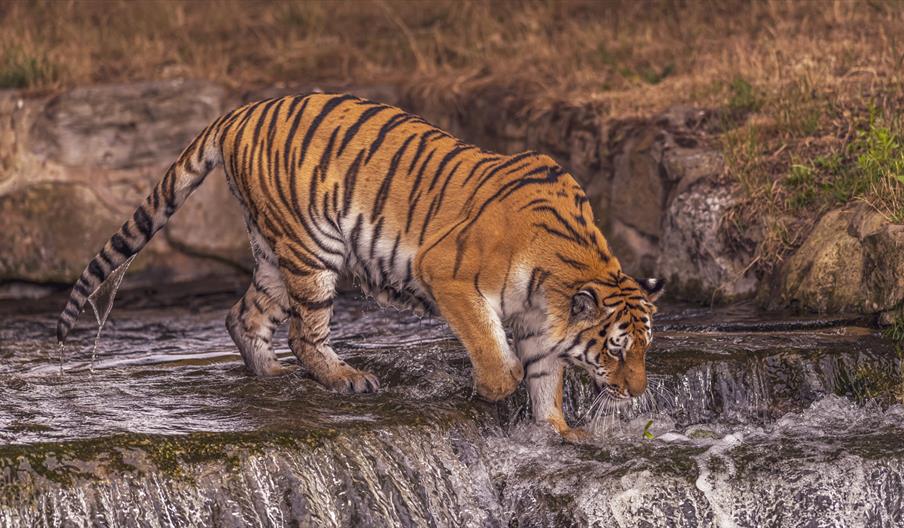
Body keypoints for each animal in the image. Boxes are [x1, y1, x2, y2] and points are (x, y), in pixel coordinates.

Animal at [55, 93, 664, 440]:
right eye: (616, 349)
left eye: (643, 349)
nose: (637, 393)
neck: (559, 277)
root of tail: (239, 111)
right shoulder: (450, 275)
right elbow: (501, 356)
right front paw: (492, 392)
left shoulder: (540, 320)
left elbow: (545, 376)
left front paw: (559, 431)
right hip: (312, 248)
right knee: (304, 332)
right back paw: (345, 378)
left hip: (275, 253)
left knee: (243, 314)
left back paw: (270, 374)